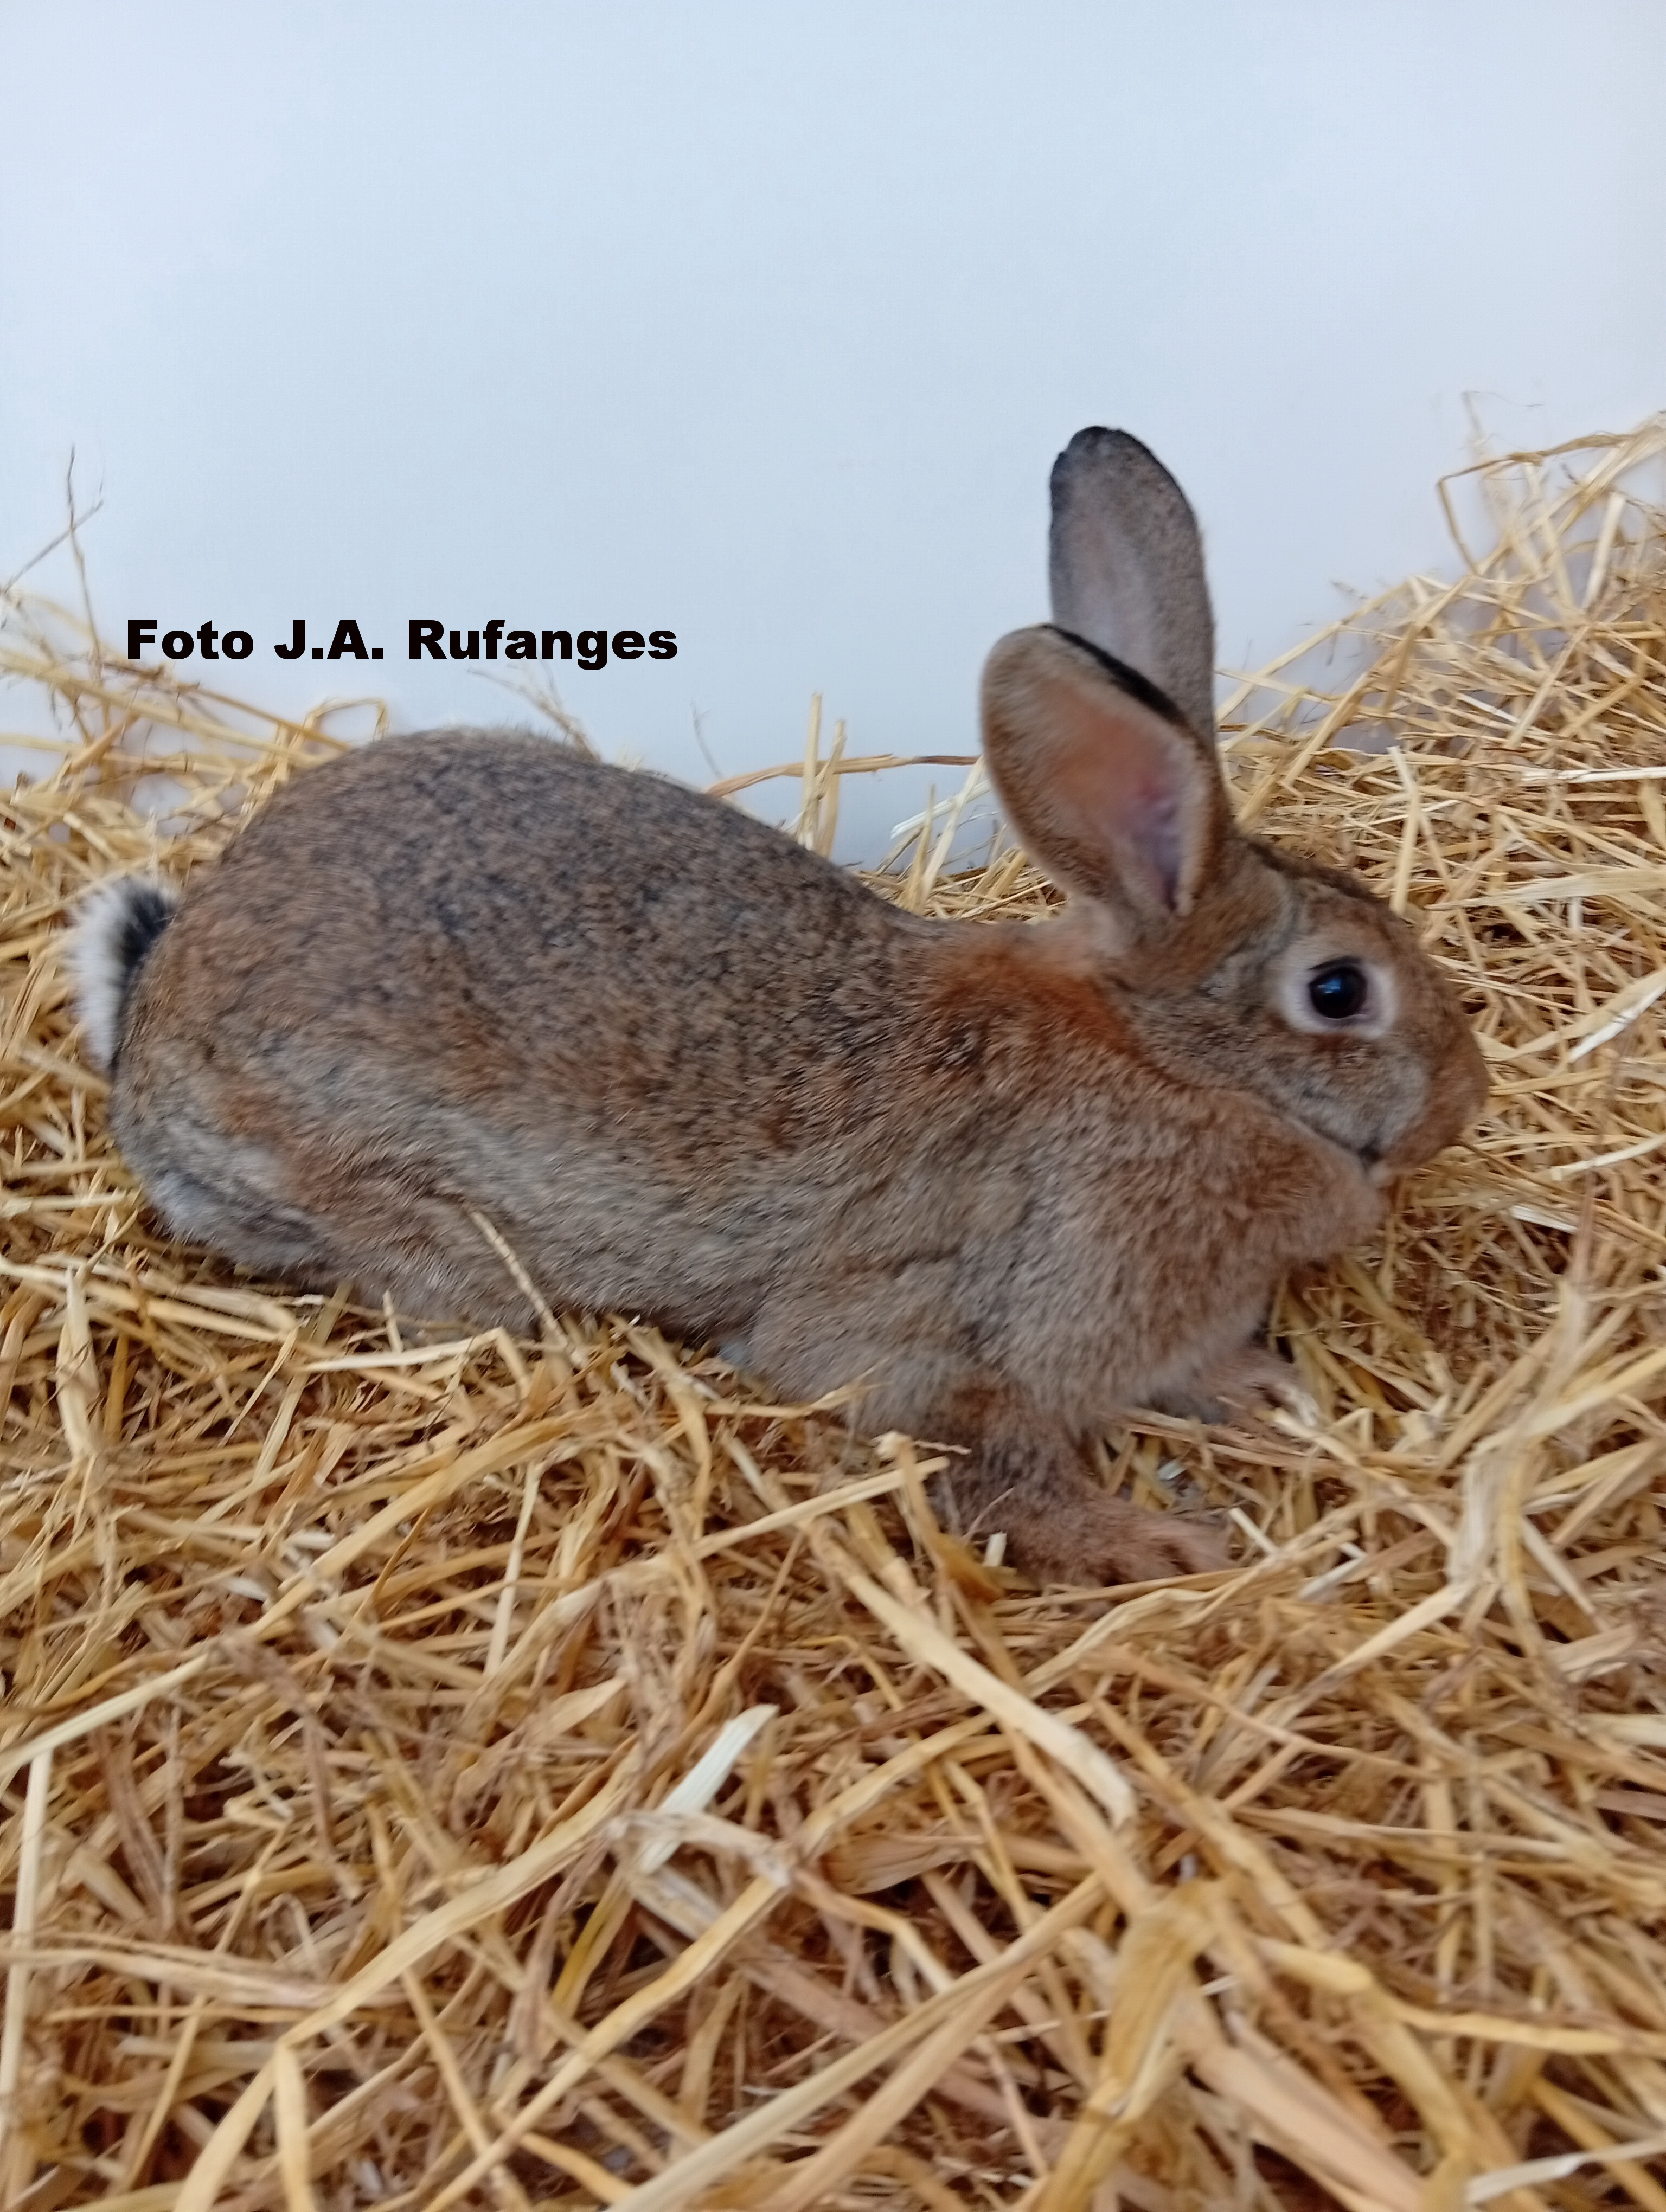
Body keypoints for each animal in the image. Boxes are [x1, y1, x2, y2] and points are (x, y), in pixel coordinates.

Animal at [73, 428, 1487, 1587]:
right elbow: (993, 1470)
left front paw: (1263, 1387)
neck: (1172, 1063)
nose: (1462, 1105)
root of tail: (148, 1020)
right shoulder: (954, 1338)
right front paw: (1157, 1543)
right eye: (1338, 991)